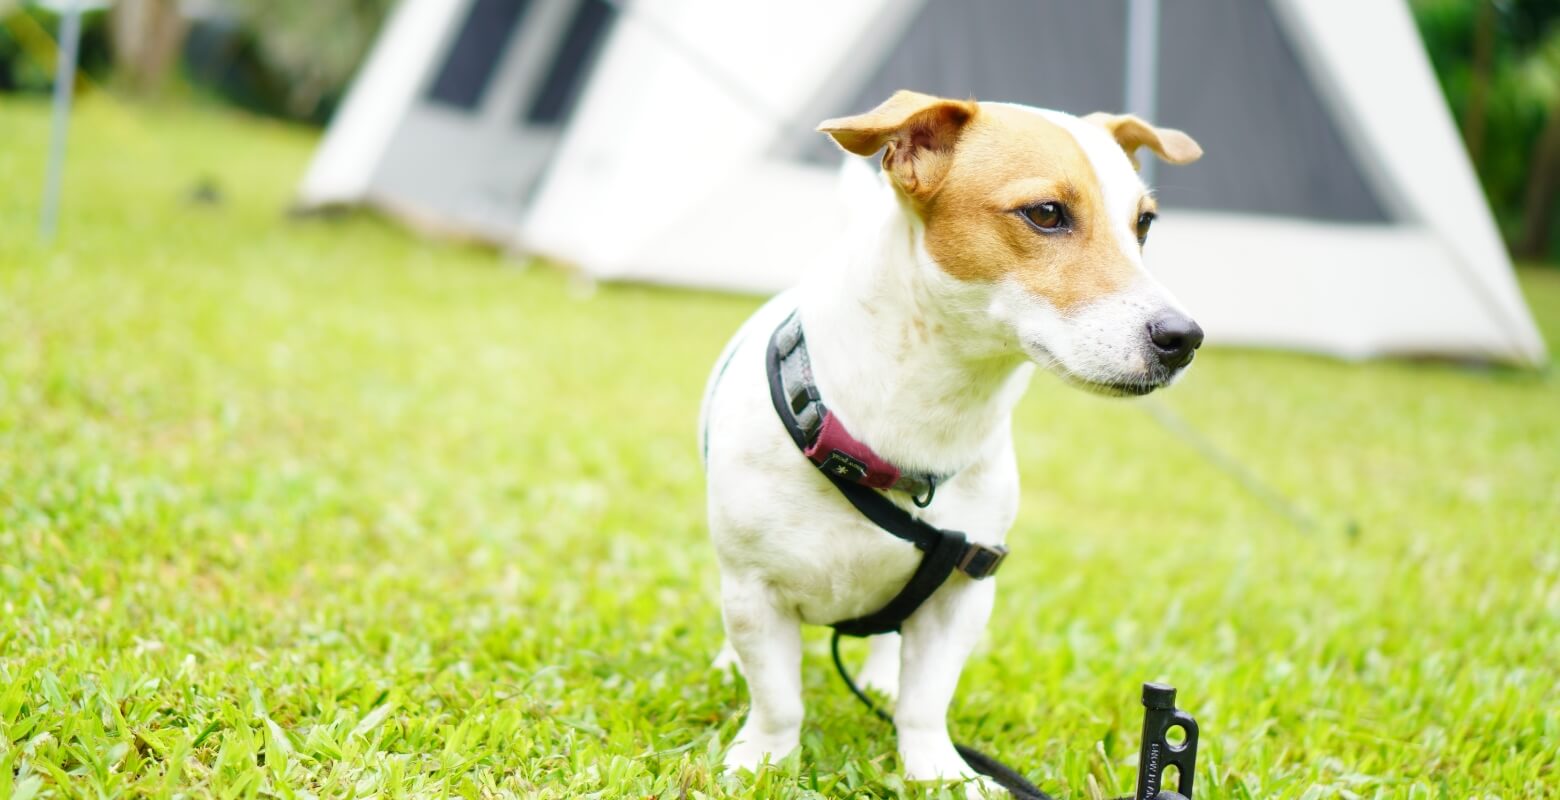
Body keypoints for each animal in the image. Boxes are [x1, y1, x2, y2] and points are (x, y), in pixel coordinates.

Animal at [698, 90, 1204, 789]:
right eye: (1046, 213)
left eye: (1145, 224)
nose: (1184, 338)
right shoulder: (754, 593)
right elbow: (778, 699)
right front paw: (760, 763)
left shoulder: (961, 595)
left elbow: (925, 701)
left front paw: (938, 773)